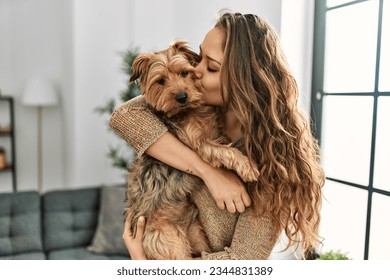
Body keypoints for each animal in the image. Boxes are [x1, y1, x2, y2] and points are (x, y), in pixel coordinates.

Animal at [125, 40, 258, 260]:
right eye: (160, 81)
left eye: (184, 73)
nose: (181, 96)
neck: (189, 111)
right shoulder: (197, 144)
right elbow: (224, 150)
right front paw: (247, 166)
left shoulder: (214, 130)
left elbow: (224, 140)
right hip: (169, 242)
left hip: (196, 234)